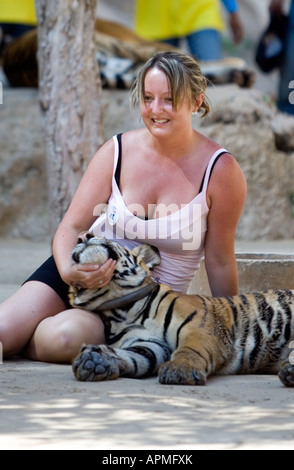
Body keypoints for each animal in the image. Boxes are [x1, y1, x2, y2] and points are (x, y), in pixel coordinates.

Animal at [70, 237, 294, 388]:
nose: (83, 237)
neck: (122, 309)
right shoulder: (149, 345)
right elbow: (133, 357)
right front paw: (95, 360)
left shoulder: (199, 328)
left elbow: (190, 349)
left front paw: (179, 371)